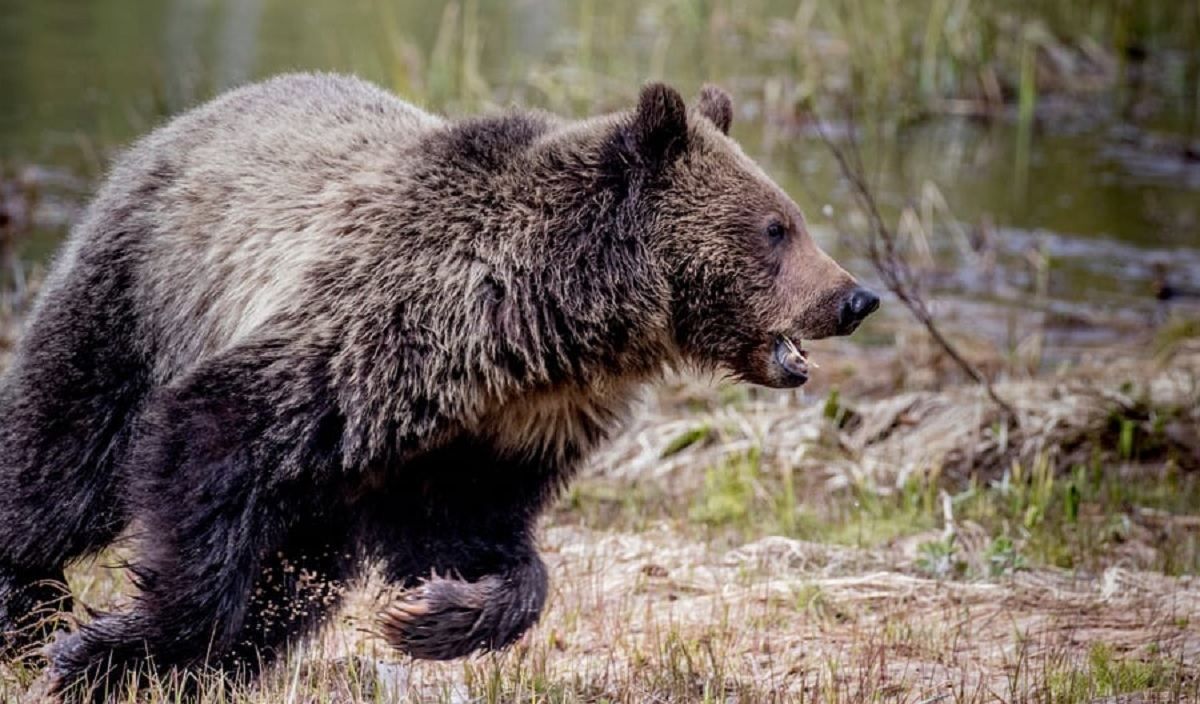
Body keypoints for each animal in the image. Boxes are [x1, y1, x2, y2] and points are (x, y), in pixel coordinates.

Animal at [0, 72, 883, 700]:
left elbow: (475, 539)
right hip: (141, 292)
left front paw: (434, 616)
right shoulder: (368, 338)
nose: (856, 297)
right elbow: (212, 438)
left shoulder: (491, 434)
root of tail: (189, 118)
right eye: (776, 227)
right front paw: (108, 651)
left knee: (299, 568)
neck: (543, 330)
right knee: (62, 458)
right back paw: (31, 605)